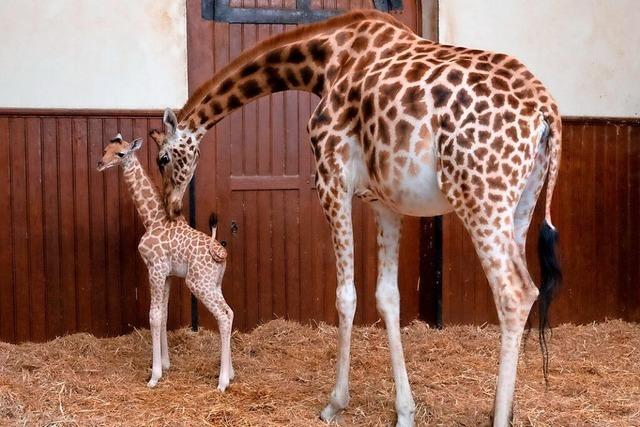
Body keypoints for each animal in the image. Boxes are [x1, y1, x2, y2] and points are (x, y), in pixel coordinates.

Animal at [97, 134, 232, 392]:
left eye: (120, 154)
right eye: (105, 149)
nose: (99, 164)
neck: (152, 218)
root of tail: (220, 252)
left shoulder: (155, 269)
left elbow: (154, 316)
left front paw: (155, 375)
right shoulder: (168, 274)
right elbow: (165, 316)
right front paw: (166, 364)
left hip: (198, 283)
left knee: (222, 316)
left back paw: (222, 383)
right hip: (215, 283)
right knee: (229, 313)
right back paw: (231, 374)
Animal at [150, 10, 560, 427]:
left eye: (162, 159)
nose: (171, 207)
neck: (324, 61)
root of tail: (547, 111)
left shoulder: (332, 180)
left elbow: (345, 296)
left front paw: (335, 402)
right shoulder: (385, 203)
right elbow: (388, 297)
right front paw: (405, 411)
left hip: (480, 195)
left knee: (515, 293)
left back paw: (500, 415)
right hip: (521, 203)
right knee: (524, 290)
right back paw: (504, 407)